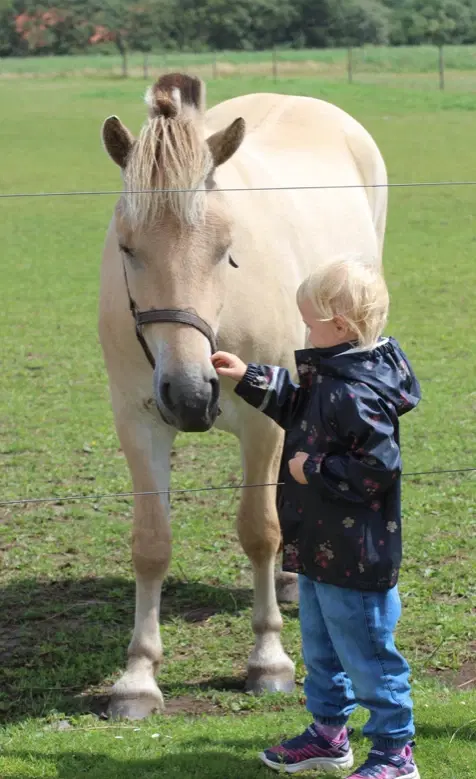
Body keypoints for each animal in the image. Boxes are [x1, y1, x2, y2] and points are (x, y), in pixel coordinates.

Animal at [98, 73, 384, 720]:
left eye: (226, 246)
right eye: (127, 247)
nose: (189, 392)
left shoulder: (264, 426)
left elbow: (259, 530)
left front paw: (269, 662)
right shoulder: (138, 422)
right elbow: (151, 543)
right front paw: (137, 678)